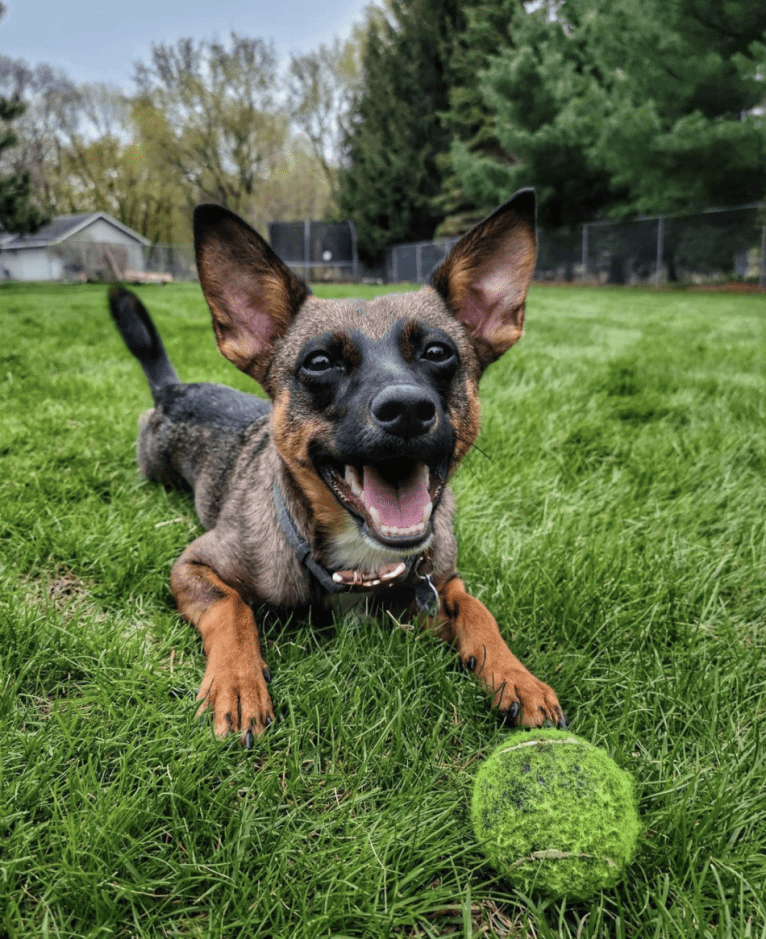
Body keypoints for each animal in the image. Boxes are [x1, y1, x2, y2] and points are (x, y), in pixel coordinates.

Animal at [108, 189, 564, 748]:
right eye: (320, 363)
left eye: (438, 352)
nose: (407, 409)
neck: (360, 563)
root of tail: (171, 389)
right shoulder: (193, 565)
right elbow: (230, 607)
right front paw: (237, 683)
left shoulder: (441, 579)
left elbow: (476, 607)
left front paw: (516, 676)